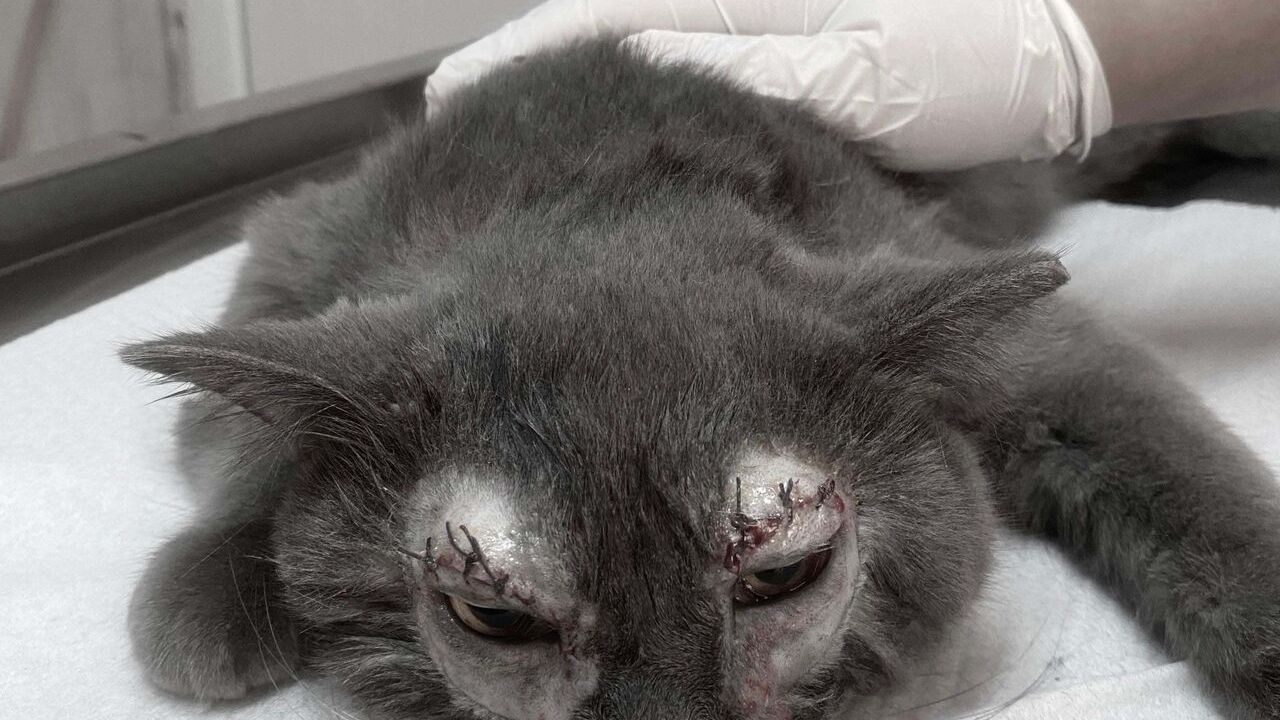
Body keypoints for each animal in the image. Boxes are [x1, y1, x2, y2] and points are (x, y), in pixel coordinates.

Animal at [122, 41, 1280, 720]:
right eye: (496, 621)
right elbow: (237, 429)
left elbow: (1191, 479)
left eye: (782, 576)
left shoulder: (1040, 341)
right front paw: (208, 590)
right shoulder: (295, 247)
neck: (596, 188)